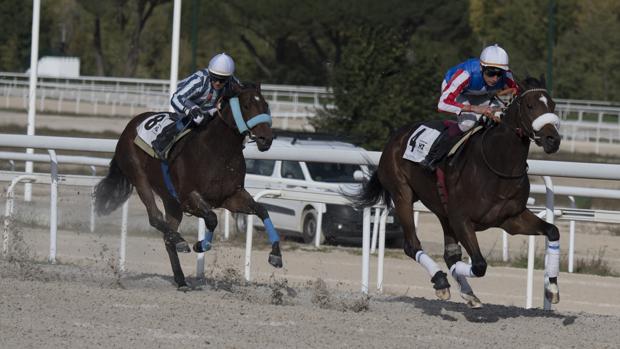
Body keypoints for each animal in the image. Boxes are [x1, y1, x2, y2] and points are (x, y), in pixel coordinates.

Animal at [95, 83, 284, 290]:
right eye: (246, 105)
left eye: (266, 105)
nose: (266, 139)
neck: (218, 151)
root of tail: (130, 125)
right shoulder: (188, 198)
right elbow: (211, 219)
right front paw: (199, 245)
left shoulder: (231, 197)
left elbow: (262, 210)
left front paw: (276, 255)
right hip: (139, 177)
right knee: (155, 217)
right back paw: (180, 242)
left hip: (171, 201)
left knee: (167, 236)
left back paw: (180, 278)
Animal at [354, 77, 560, 308]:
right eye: (530, 106)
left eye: (552, 105)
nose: (553, 139)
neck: (498, 164)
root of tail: (396, 136)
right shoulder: (462, 219)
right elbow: (479, 265)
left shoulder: (512, 218)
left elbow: (553, 231)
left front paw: (552, 287)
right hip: (402, 195)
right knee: (412, 244)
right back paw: (440, 280)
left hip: (443, 211)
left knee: (449, 254)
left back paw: (464, 290)